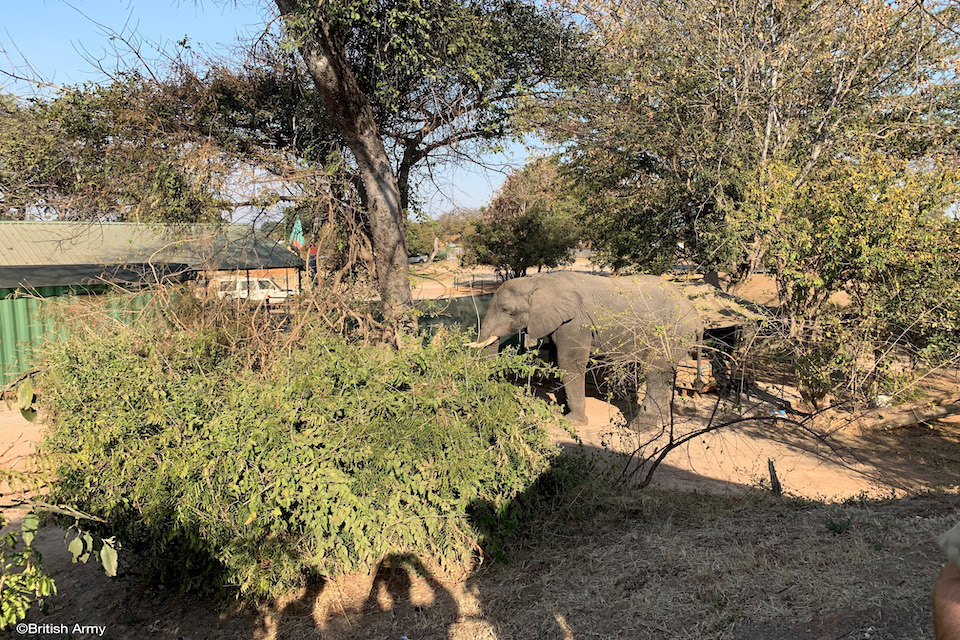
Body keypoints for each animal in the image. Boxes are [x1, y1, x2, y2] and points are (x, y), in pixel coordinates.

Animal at [468, 272, 700, 428]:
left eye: (506, 310)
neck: (539, 281)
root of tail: (694, 312)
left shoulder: (576, 322)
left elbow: (569, 361)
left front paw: (573, 421)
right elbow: (556, 358)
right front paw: (560, 407)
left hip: (670, 333)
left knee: (655, 373)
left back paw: (639, 428)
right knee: (665, 375)